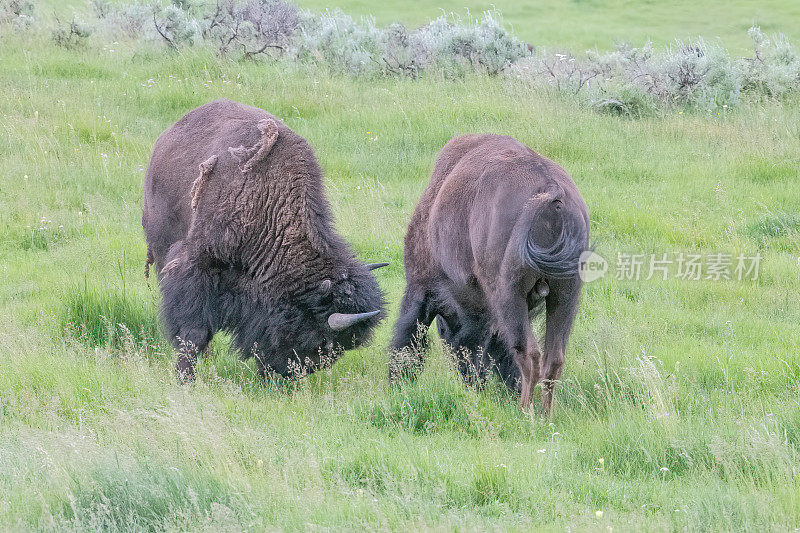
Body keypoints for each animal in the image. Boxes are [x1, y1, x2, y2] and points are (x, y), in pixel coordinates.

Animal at [145, 100, 388, 380]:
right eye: (322, 339)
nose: (292, 373)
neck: (267, 200)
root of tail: (166, 139)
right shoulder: (196, 266)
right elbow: (194, 332)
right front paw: (184, 378)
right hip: (160, 250)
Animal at [390, 134, 592, 416]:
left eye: (444, 330)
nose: (471, 381)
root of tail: (552, 191)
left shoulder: (420, 285)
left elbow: (407, 334)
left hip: (509, 294)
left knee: (529, 355)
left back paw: (525, 412)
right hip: (566, 296)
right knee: (553, 359)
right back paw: (544, 414)